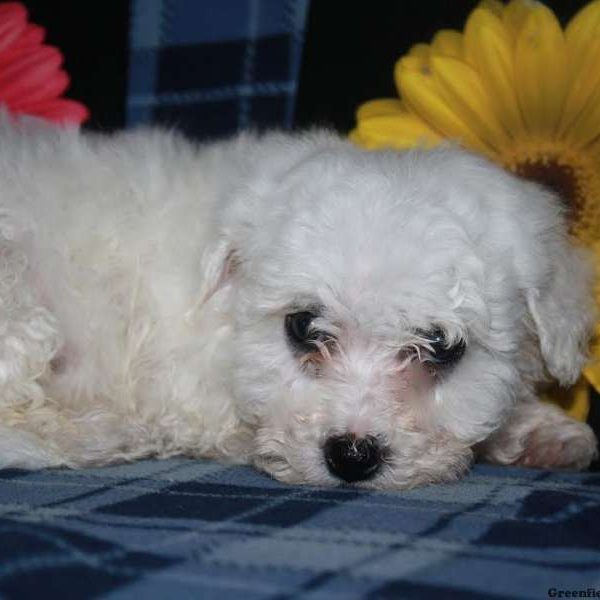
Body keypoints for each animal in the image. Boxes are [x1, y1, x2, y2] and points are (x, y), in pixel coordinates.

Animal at [0, 116, 596, 488]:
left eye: (440, 346)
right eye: (304, 327)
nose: (351, 456)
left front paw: (543, 432)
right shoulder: (191, 393)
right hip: (19, 298)